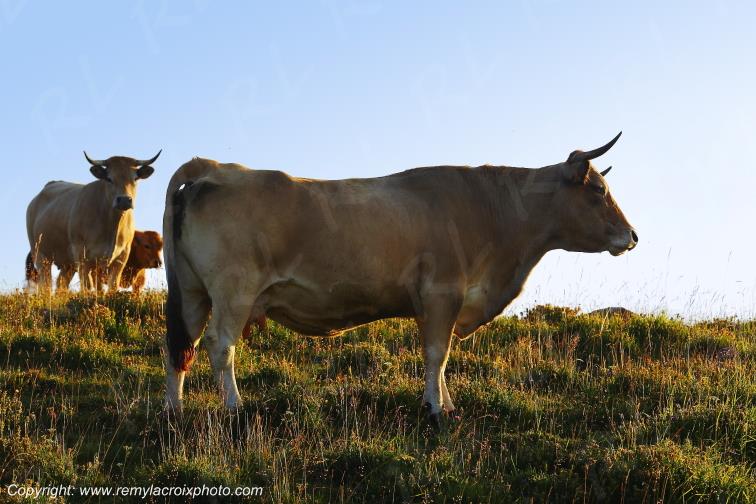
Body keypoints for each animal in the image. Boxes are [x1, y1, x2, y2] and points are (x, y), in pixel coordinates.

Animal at [26, 151, 160, 295]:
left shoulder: (121, 257)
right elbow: (87, 286)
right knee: (45, 283)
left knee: (61, 283)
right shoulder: (83, 256)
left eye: (135, 178)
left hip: (68, 263)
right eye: (109, 178)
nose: (124, 200)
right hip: (40, 254)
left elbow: (112, 286)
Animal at [162, 133, 637, 426]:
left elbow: (438, 357)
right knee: (220, 345)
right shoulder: (444, 292)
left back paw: (174, 411)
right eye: (598, 190)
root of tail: (213, 167)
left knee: (180, 348)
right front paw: (437, 411)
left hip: (191, 292)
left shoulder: (435, 304)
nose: (632, 236)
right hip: (233, 291)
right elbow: (437, 354)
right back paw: (234, 407)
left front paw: (445, 404)